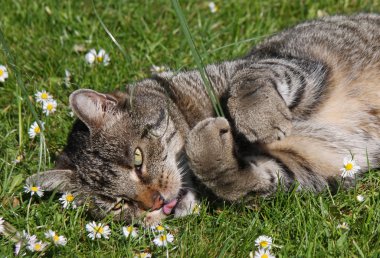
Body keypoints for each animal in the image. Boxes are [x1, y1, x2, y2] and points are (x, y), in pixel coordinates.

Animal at [27, 13, 380, 225]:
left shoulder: (293, 64)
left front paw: (258, 120)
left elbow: (249, 80)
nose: (153, 205)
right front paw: (209, 149)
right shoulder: (310, 164)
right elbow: (232, 178)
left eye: (138, 160)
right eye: (117, 204)